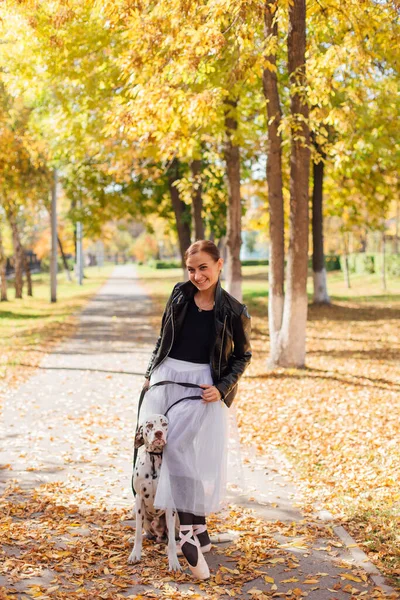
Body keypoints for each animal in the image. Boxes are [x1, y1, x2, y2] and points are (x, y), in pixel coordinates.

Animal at [127, 412, 180, 572]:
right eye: (150, 425)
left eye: (164, 424)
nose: (158, 433)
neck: (154, 459)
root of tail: (159, 535)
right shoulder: (139, 500)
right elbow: (138, 532)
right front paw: (135, 554)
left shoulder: (169, 501)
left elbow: (172, 543)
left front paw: (173, 562)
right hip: (135, 511)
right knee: (147, 534)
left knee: (173, 537)